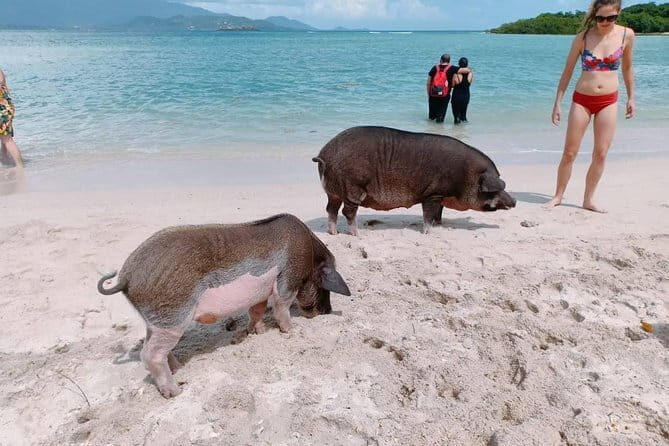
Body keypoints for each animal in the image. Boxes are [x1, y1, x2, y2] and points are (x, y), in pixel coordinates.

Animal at [97, 213, 351, 398]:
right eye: (324, 288)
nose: (327, 311)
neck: (311, 255)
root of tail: (126, 276)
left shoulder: (260, 293)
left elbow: (257, 310)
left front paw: (257, 332)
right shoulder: (288, 278)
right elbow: (281, 306)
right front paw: (292, 331)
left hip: (156, 322)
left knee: (153, 345)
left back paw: (178, 369)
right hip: (173, 316)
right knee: (150, 353)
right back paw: (176, 390)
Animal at [313, 126, 516, 235]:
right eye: (496, 188)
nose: (514, 201)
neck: (464, 176)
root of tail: (324, 155)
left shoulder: (439, 195)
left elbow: (438, 212)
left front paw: (440, 225)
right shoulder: (433, 193)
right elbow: (428, 214)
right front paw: (428, 232)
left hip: (332, 192)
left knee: (331, 209)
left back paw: (333, 233)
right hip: (353, 188)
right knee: (347, 211)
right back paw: (356, 234)